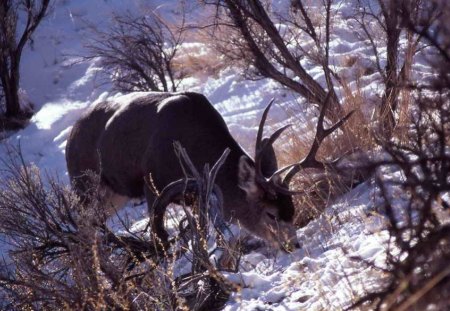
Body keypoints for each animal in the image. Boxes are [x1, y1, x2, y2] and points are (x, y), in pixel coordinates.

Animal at [66, 91, 352, 250]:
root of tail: (70, 137)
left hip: (114, 196)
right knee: (85, 230)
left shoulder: (198, 196)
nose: (293, 245)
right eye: (270, 214)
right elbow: (160, 238)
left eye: (291, 210)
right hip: (84, 186)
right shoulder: (151, 183)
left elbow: (207, 233)